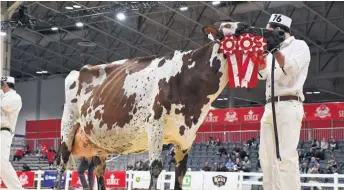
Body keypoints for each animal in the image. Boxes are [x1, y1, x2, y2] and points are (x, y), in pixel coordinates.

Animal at [53, 21, 284, 190]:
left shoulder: (187, 137)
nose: (281, 33)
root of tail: (80, 70)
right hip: (67, 129)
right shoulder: (155, 127)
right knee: (60, 167)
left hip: (99, 145)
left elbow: (180, 175)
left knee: (99, 172)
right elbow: (156, 169)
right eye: (243, 28)